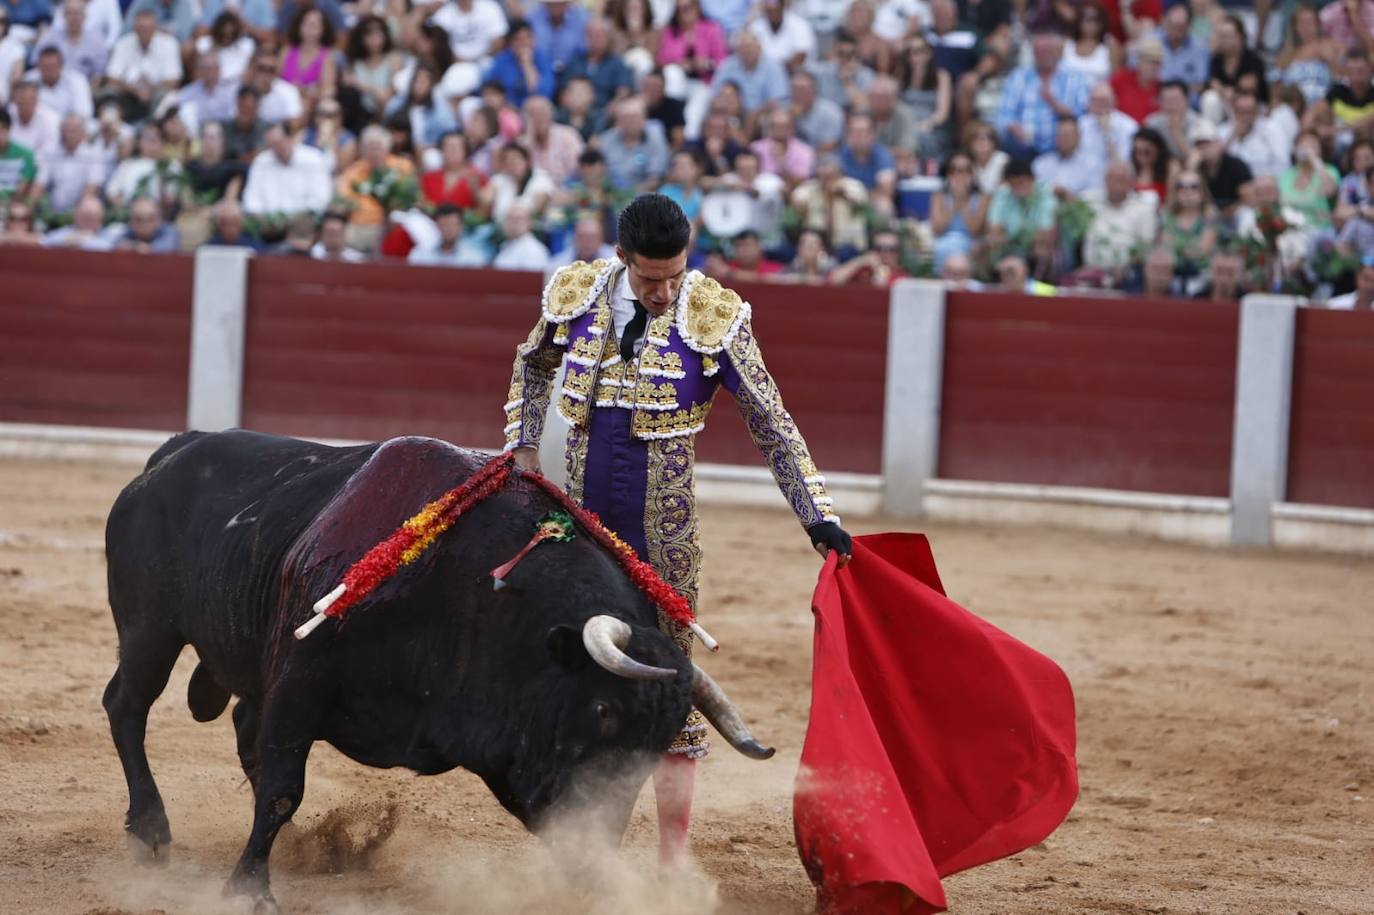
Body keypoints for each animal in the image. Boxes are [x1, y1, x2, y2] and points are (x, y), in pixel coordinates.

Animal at [104, 428, 774, 906]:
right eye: (603, 710)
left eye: (661, 740)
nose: (598, 839)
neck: (473, 591)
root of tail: (172, 452)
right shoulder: (300, 677)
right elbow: (282, 788)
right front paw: (250, 890)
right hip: (149, 629)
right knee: (128, 705)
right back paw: (152, 829)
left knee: (239, 726)